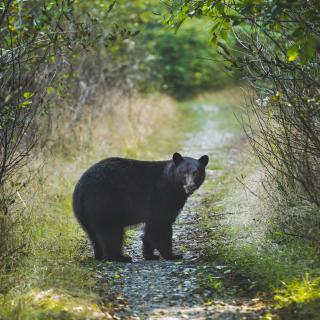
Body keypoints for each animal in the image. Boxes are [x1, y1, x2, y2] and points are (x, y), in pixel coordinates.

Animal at [71, 152, 209, 262]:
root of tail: (81, 187)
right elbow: (160, 225)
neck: (173, 185)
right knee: (111, 233)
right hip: (104, 203)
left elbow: (150, 229)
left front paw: (150, 255)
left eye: (196, 172)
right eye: (183, 172)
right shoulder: (161, 196)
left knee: (93, 235)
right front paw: (172, 255)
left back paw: (99, 255)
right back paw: (120, 257)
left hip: (85, 213)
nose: (190, 186)